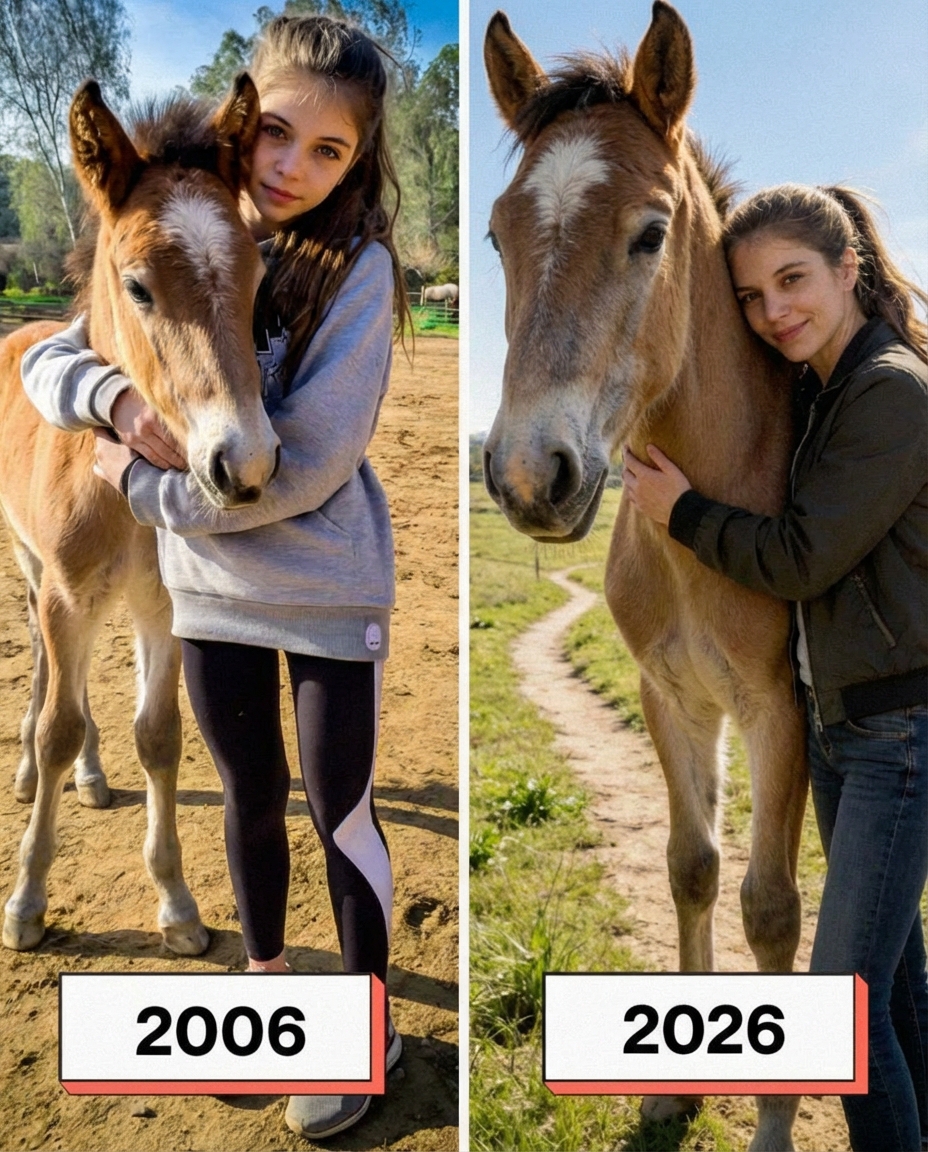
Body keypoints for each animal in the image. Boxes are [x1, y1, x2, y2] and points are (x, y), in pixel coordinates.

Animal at [0, 77, 280, 956]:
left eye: (258, 277)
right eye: (137, 286)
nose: (245, 464)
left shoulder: (163, 608)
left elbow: (158, 736)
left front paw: (180, 906)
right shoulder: (66, 596)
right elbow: (58, 722)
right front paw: (26, 902)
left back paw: (92, 777)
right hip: (32, 569)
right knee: (45, 665)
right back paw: (33, 772)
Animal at [483, 5, 807, 1149]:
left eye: (651, 232)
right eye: (496, 236)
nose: (528, 474)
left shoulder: (781, 713)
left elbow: (771, 907)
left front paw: (770, 1122)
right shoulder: (671, 697)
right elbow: (693, 867)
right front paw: (676, 1091)